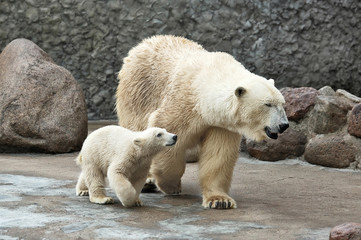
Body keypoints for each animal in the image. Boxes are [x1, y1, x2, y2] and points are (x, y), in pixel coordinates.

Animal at [116, 34, 288, 209]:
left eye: (282, 103)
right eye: (268, 104)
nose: (284, 125)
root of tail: (144, 43)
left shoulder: (220, 124)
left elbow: (218, 154)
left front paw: (220, 200)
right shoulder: (182, 104)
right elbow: (166, 133)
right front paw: (171, 186)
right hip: (138, 93)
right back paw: (147, 181)